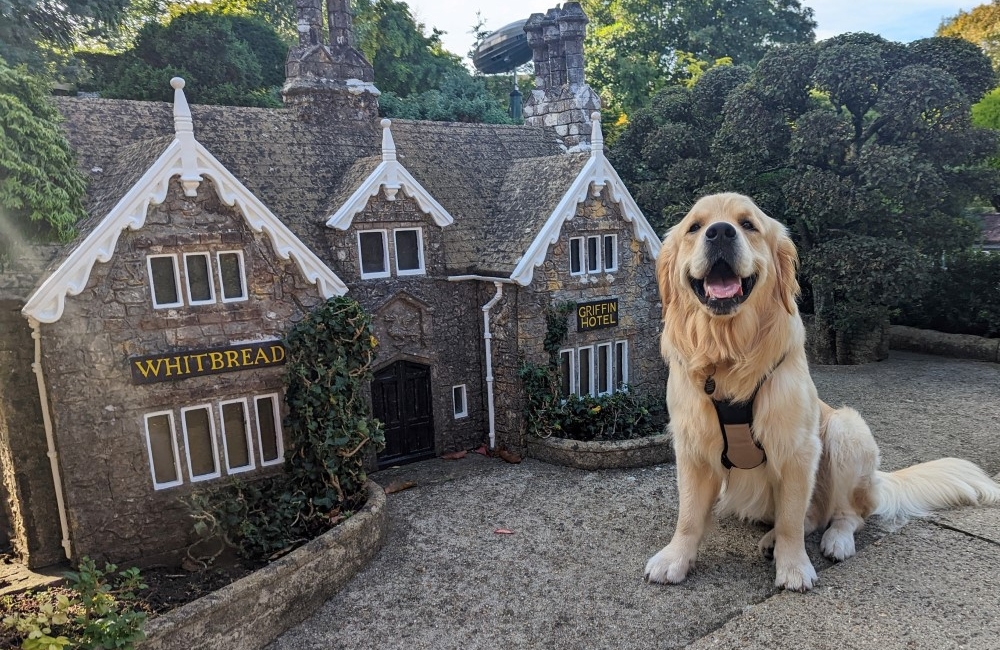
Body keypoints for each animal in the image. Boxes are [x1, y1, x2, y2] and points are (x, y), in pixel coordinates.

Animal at [648, 191, 1000, 588]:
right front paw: (676, 558)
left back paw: (833, 540)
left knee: (843, 514)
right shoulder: (692, 446)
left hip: (847, 430)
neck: (729, 352)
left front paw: (793, 567)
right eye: (695, 226)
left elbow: (791, 518)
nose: (720, 232)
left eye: (748, 224)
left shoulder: (799, 451)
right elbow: (690, 514)